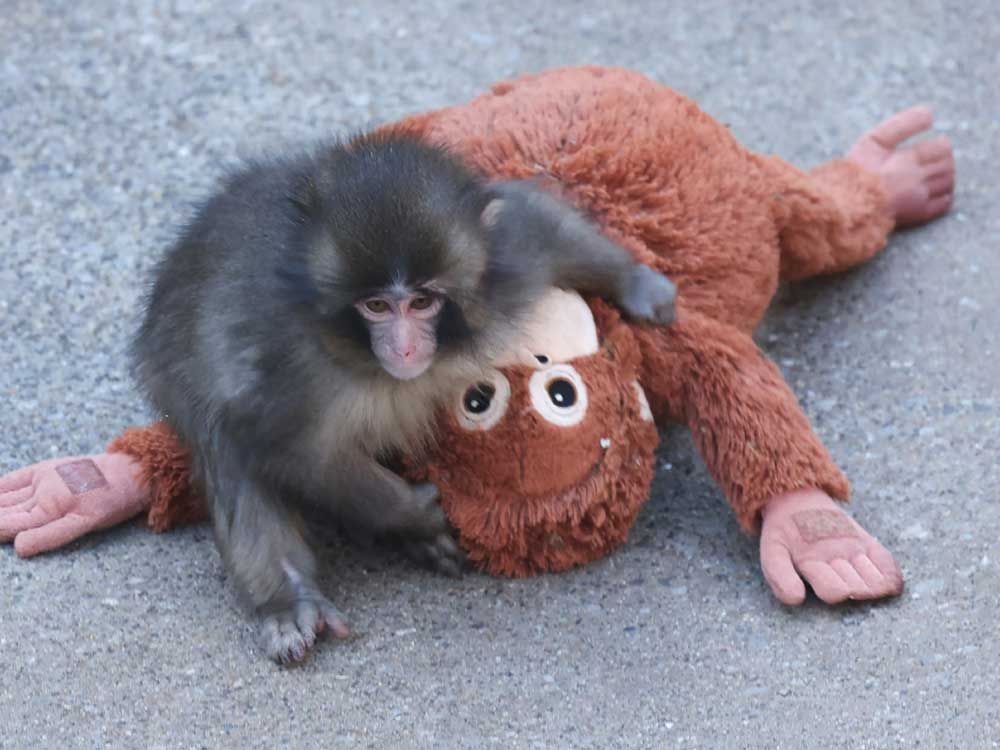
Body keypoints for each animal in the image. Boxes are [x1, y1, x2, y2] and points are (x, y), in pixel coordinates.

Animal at [132, 131, 676, 663]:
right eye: (375, 306)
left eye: (421, 301)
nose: (405, 347)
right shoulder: (284, 366)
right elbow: (291, 450)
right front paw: (413, 513)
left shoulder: (504, 266)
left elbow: (538, 223)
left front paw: (638, 284)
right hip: (171, 372)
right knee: (224, 444)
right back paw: (288, 598)